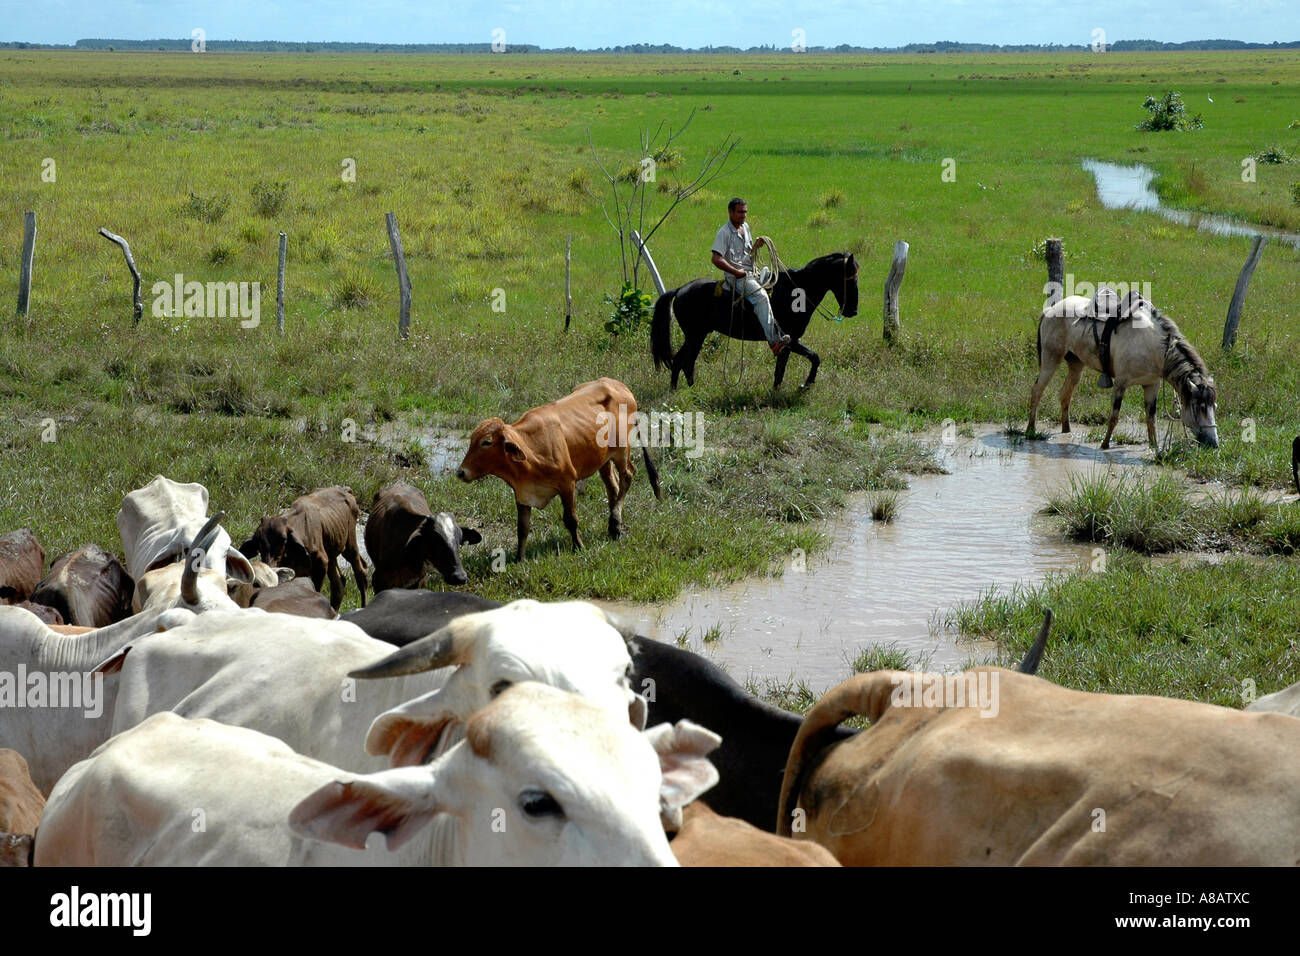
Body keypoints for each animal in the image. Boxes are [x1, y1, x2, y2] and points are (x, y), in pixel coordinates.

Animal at [243, 486, 371, 613]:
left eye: (284, 540)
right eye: (258, 541)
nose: (269, 563)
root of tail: (345, 489)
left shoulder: (321, 563)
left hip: (350, 545)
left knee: (361, 573)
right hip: (332, 553)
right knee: (339, 583)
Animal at [454, 374, 660, 561]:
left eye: (486, 442)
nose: (461, 472)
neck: (531, 450)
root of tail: (620, 386)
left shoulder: (567, 484)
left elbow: (570, 520)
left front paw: (578, 546)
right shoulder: (522, 494)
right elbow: (522, 528)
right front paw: (519, 558)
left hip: (621, 451)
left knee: (627, 476)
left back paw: (615, 520)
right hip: (603, 459)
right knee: (613, 486)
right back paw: (614, 527)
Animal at [655, 254, 857, 392]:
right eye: (850, 279)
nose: (852, 311)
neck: (796, 292)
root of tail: (680, 290)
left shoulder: (790, 343)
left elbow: (784, 369)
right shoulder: (790, 340)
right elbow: (813, 358)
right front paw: (805, 385)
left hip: (698, 336)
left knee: (687, 363)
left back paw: (693, 391)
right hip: (694, 336)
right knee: (680, 361)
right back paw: (676, 392)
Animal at [1024, 293, 1216, 450]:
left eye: (1214, 406)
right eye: (1199, 407)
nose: (1214, 443)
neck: (1154, 348)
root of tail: (1050, 309)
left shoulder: (1151, 385)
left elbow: (1151, 418)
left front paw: (1154, 447)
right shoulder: (1120, 384)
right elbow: (1114, 416)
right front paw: (1105, 445)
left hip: (1076, 365)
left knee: (1065, 394)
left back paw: (1066, 431)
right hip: (1051, 359)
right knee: (1037, 390)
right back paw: (1030, 430)